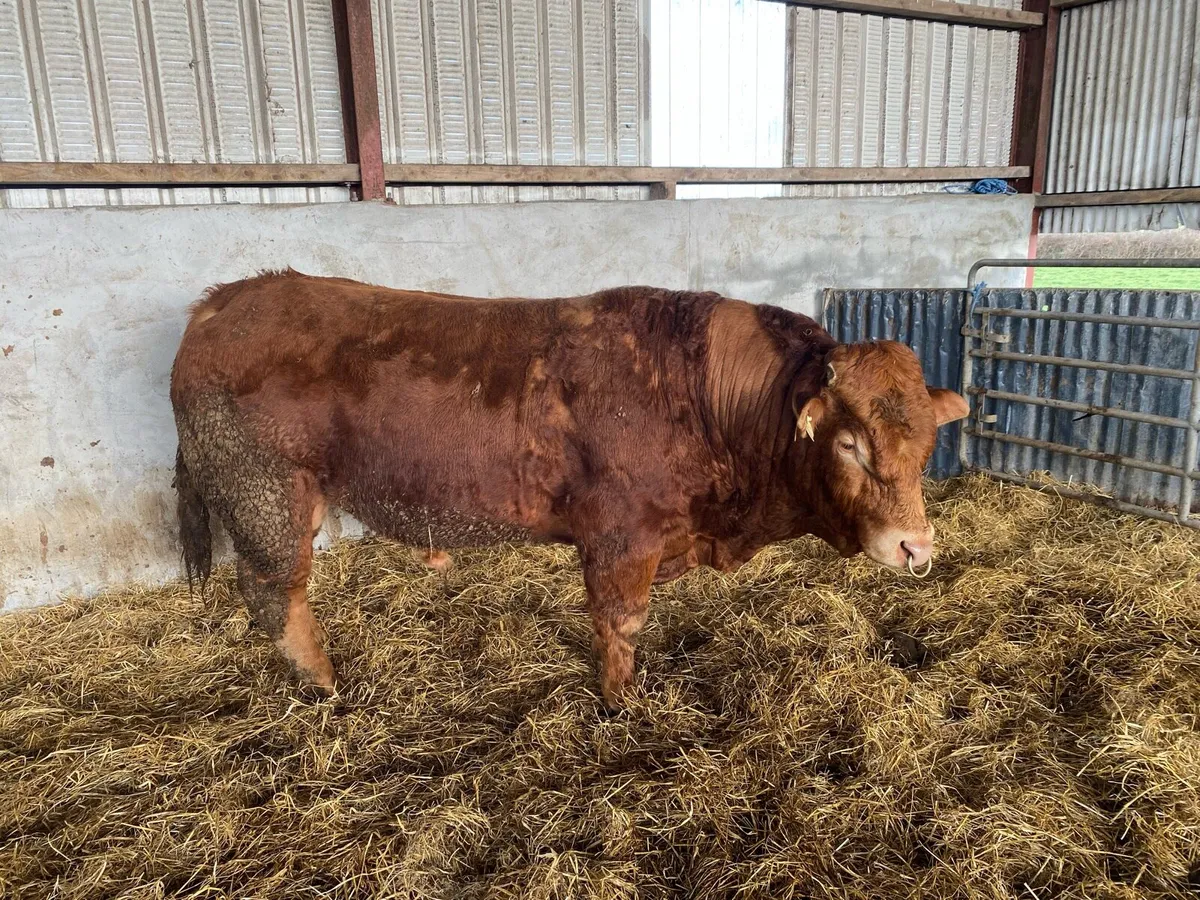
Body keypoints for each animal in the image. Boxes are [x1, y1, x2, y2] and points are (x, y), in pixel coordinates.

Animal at [171, 271, 968, 709]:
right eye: (849, 443)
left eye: (928, 445)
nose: (915, 546)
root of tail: (224, 302)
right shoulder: (621, 536)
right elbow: (621, 623)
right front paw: (623, 702)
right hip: (266, 496)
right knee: (276, 593)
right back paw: (325, 685)